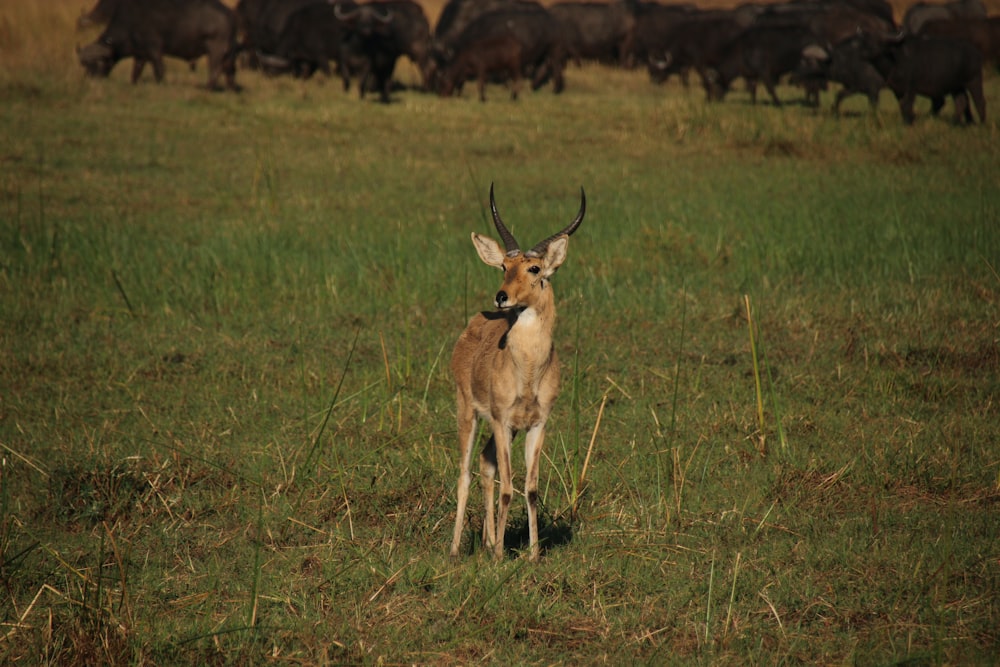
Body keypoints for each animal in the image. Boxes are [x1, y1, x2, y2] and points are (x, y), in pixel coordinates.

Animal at [76, 0, 240, 90]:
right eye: (85, 64)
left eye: (98, 62)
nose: (90, 78)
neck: (130, 21)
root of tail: (230, 14)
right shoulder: (140, 54)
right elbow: (136, 71)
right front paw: (133, 83)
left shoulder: (154, 49)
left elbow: (159, 69)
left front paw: (161, 84)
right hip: (228, 54)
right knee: (229, 71)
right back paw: (231, 89)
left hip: (216, 50)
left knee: (215, 69)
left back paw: (208, 88)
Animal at [448, 184, 584, 564]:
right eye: (504, 266)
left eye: (535, 268)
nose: (502, 297)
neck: (528, 372)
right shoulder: (502, 419)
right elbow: (508, 489)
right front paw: (498, 558)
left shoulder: (537, 424)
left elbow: (531, 488)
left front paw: (534, 555)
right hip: (469, 413)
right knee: (465, 473)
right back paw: (456, 549)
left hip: (502, 430)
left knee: (485, 463)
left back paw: (487, 542)